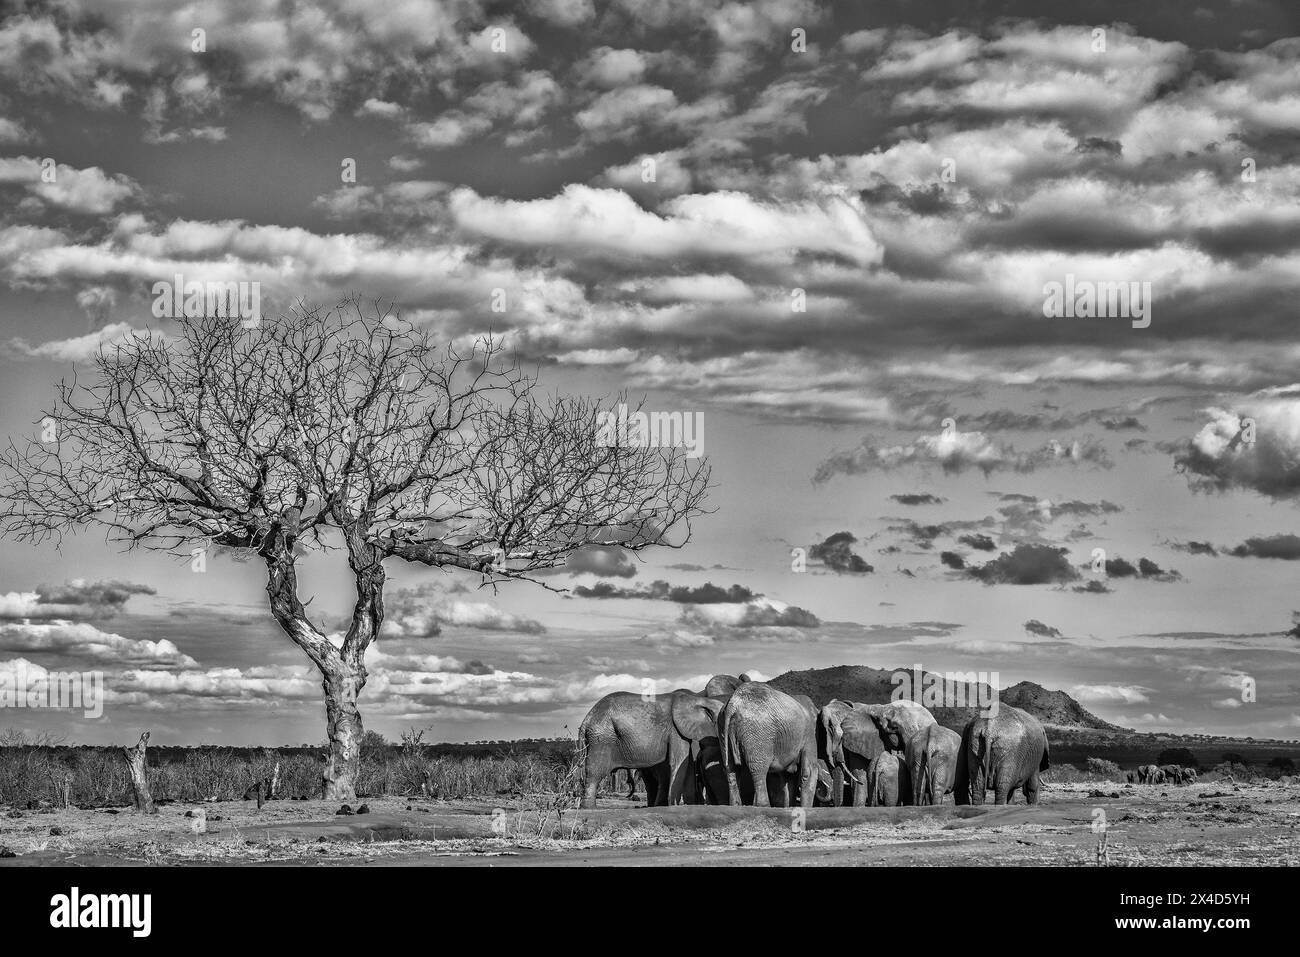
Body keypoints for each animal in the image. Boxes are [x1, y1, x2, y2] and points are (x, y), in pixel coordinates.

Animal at [582, 686, 733, 806]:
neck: (697, 700)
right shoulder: (675, 730)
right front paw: (674, 806)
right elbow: (679, 762)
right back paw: (590, 808)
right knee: (595, 772)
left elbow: (687, 764)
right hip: (602, 737)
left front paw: (690, 805)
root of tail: (586, 719)